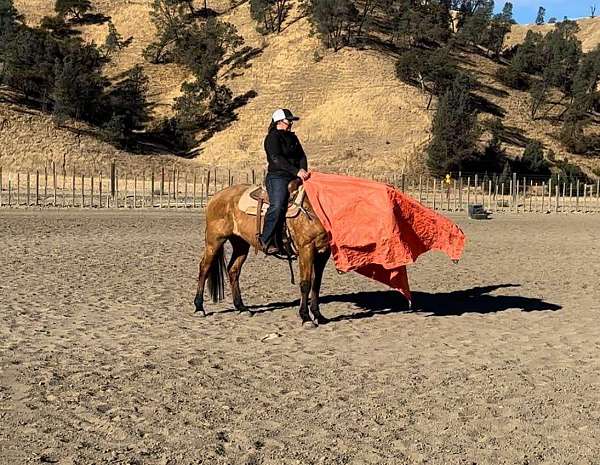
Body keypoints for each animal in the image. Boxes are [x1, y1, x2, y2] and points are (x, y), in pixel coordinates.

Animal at [193, 182, 330, 326]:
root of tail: (215, 197)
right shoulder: (306, 249)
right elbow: (305, 283)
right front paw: (306, 318)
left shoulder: (323, 252)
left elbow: (316, 283)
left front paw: (318, 315)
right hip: (214, 241)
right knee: (204, 268)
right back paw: (199, 307)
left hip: (240, 244)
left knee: (233, 270)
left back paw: (241, 307)